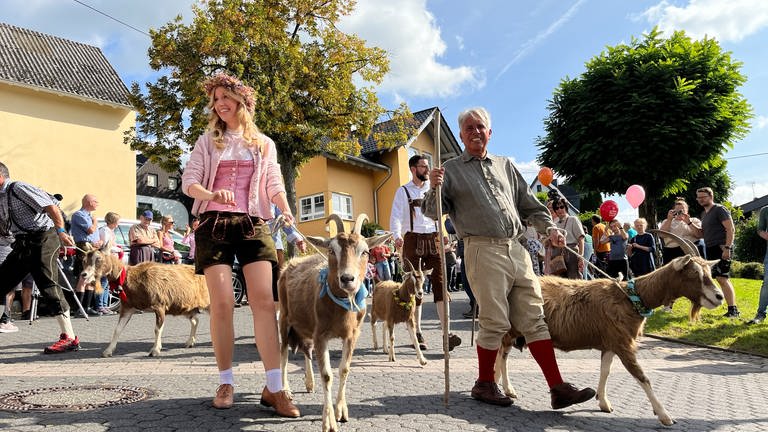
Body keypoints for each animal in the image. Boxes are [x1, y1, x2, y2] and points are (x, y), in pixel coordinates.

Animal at [78, 250, 210, 358]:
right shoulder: (128, 307)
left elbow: (157, 329)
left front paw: (155, 350)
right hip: (187, 307)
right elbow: (118, 329)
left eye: (99, 259)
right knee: (195, 320)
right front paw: (108, 351)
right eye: (84, 260)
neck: (132, 280)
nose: (84, 274)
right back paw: (190, 342)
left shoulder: (160, 306)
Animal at [278, 213, 390, 432]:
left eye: (365, 251)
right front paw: (328, 421)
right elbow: (327, 374)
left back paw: (309, 383)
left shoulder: (352, 335)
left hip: (306, 325)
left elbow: (344, 369)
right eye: (331, 250)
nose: (347, 278)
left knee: (306, 350)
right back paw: (285, 390)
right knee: (284, 354)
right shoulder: (321, 335)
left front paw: (341, 411)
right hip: (284, 319)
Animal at [500, 251, 724, 426]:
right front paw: (665, 415)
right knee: (501, 354)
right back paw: (506, 390)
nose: (719, 297)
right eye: (694, 274)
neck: (631, 298)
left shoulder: (610, 343)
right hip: (512, 328)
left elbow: (605, 371)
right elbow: (642, 377)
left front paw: (603, 403)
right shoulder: (623, 344)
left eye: (709, 273)